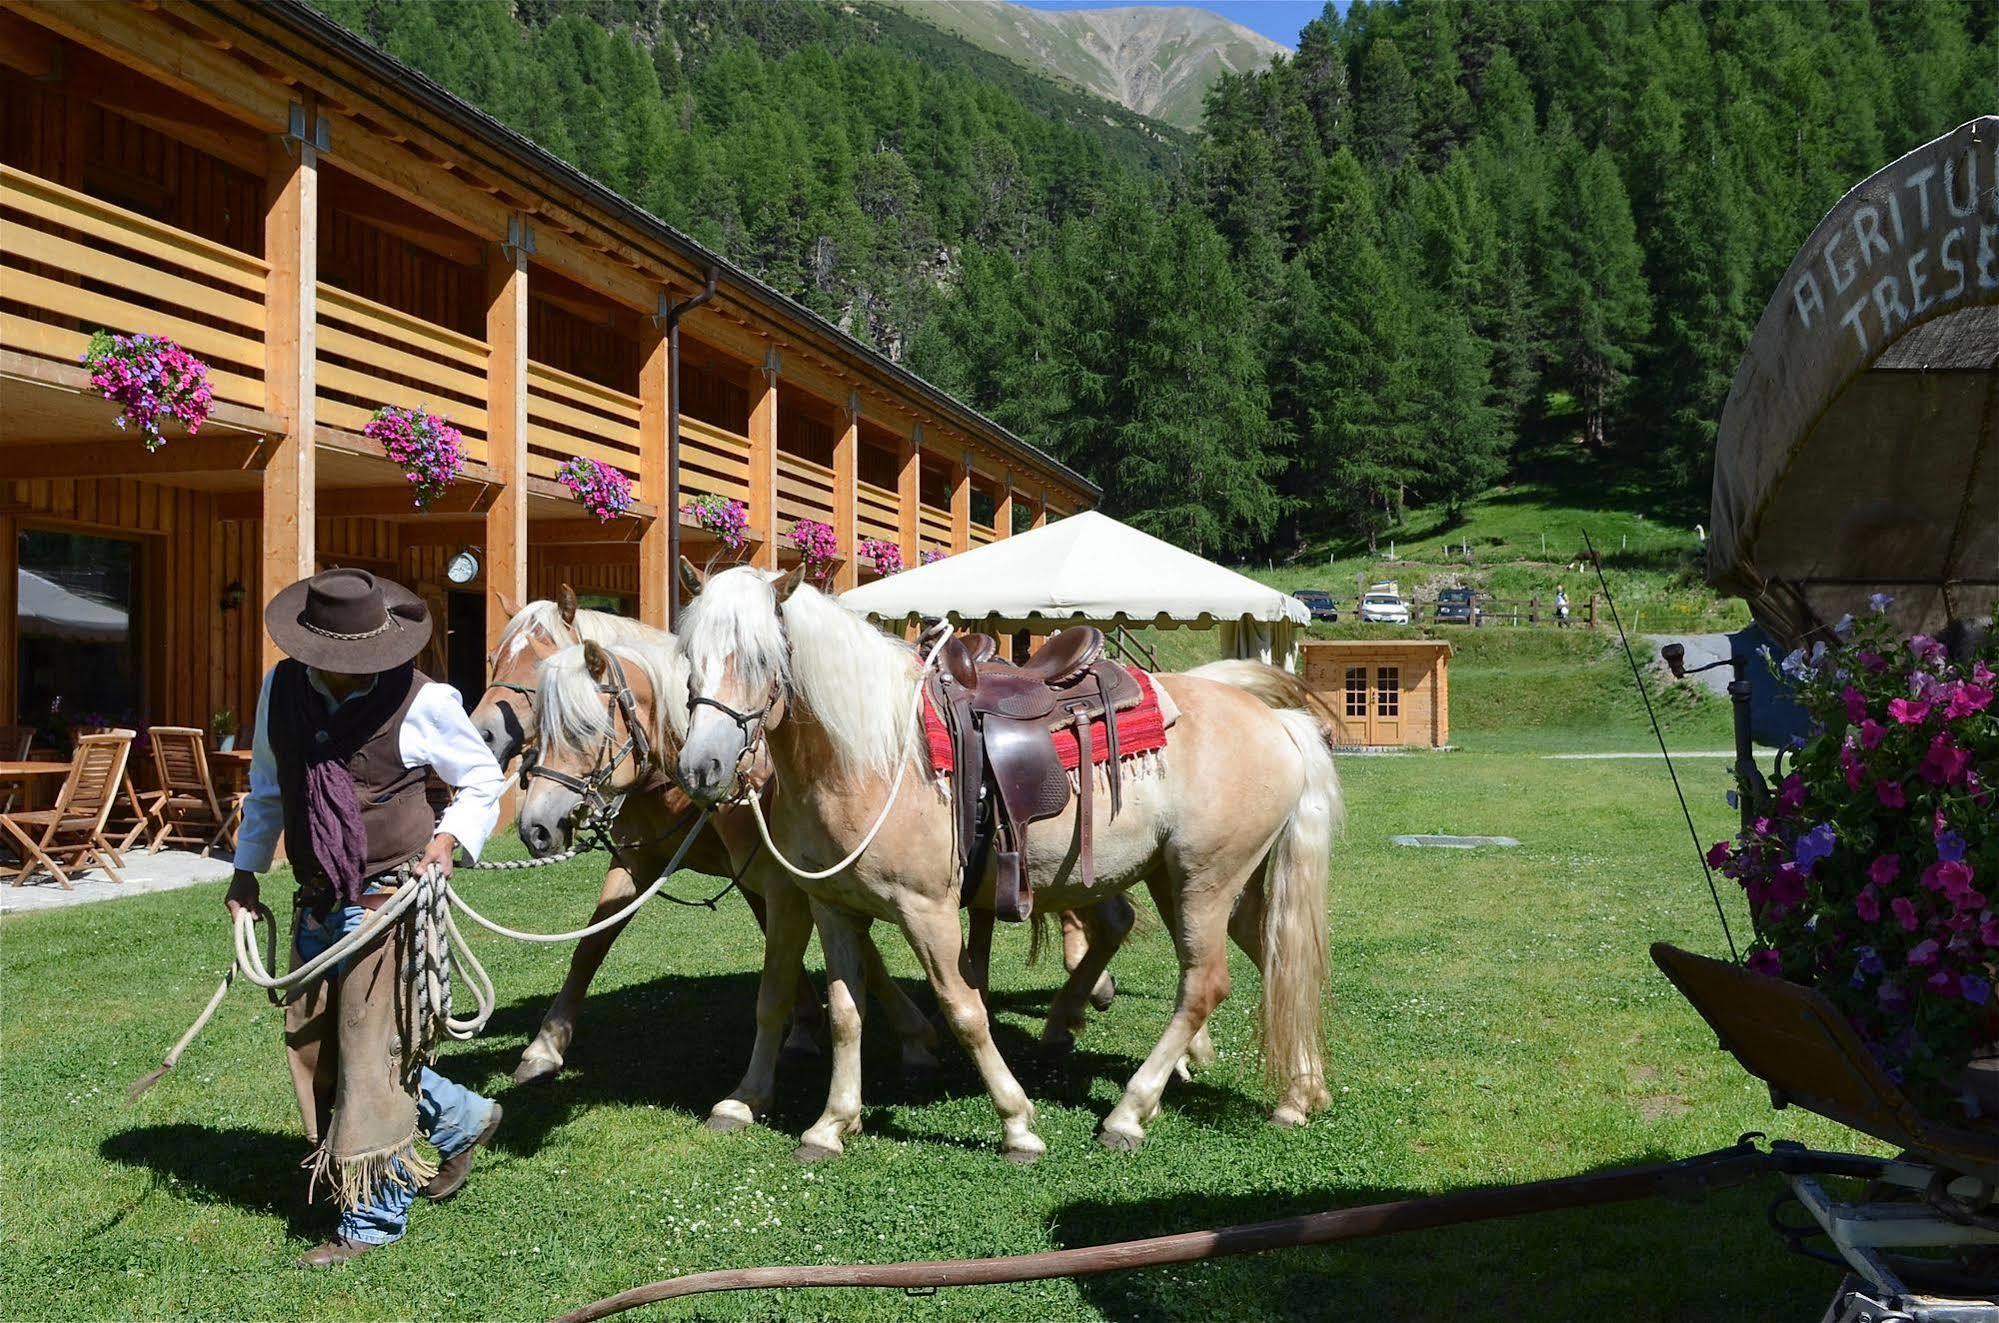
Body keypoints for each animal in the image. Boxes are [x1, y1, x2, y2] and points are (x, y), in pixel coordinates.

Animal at [675, 563, 1343, 1167]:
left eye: (761, 660)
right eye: (689, 657)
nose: (702, 767)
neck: (871, 759)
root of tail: (1276, 721)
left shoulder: (927, 911)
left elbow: (965, 1010)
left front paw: (1016, 1124)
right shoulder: (832, 906)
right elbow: (845, 1013)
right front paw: (831, 1124)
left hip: (1204, 881)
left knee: (1204, 984)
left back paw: (1128, 1113)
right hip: (1198, 880)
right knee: (1274, 957)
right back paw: (1298, 1094)